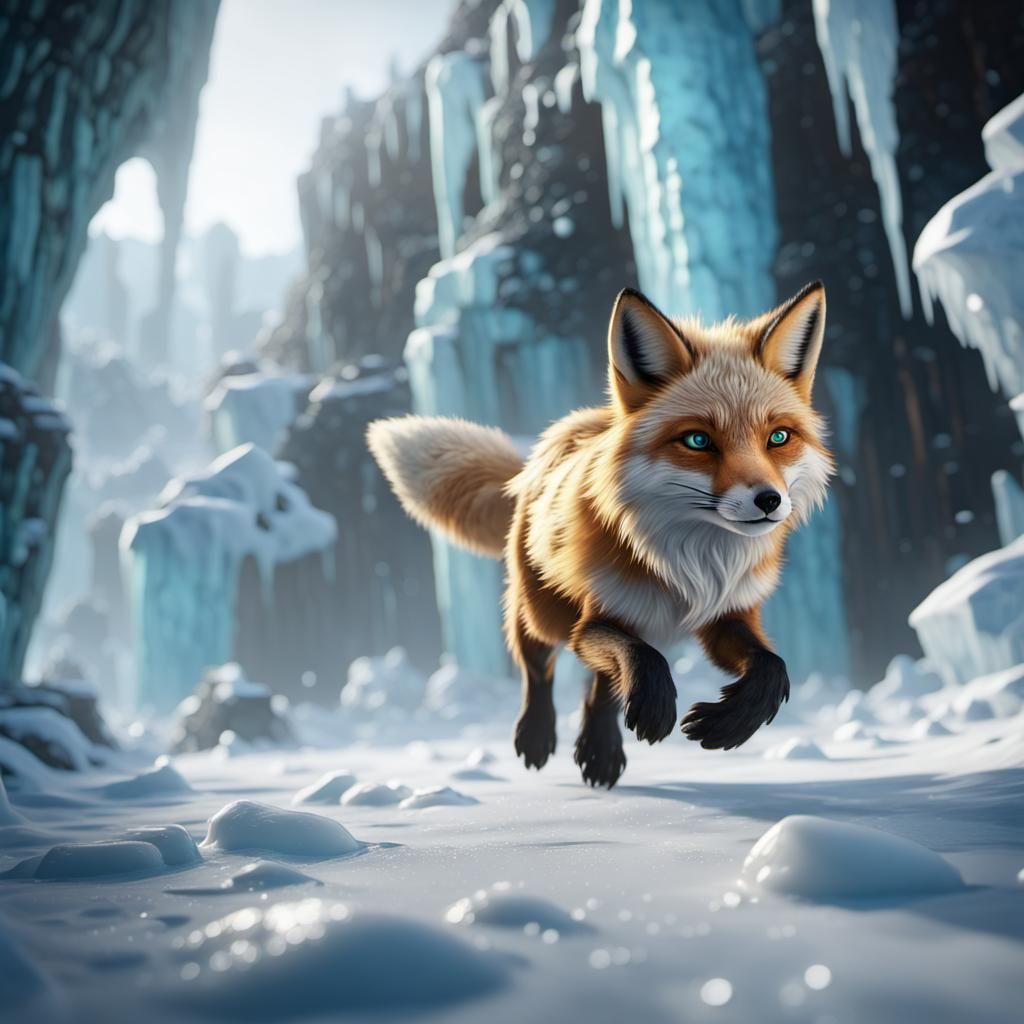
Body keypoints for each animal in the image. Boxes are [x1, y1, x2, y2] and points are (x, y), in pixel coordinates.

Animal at [367, 281, 832, 787]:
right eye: (698, 441)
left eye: (779, 438)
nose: (769, 500)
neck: (691, 566)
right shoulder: (598, 616)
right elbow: (641, 657)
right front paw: (654, 710)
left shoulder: (728, 614)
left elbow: (772, 667)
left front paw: (727, 726)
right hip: (545, 613)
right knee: (539, 667)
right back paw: (539, 735)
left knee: (601, 685)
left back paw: (599, 749)